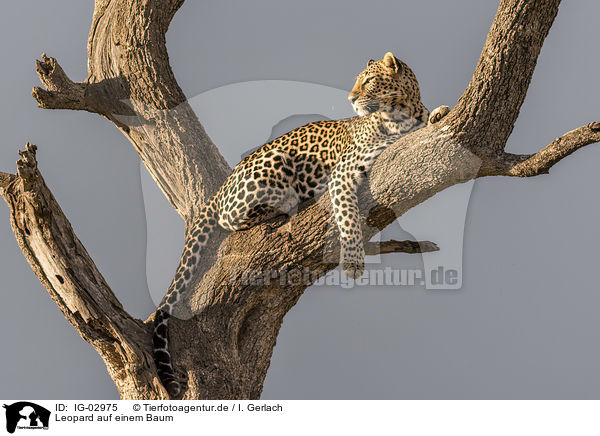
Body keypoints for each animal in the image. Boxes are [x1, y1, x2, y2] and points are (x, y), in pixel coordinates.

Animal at [154, 51, 450, 396]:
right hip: (272, 164)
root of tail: (222, 187)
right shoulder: (344, 172)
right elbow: (348, 213)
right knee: (231, 216)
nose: (351, 100)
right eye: (358, 81)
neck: (404, 113)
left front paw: (439, 113)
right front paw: (353, 261)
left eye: (368, 81)